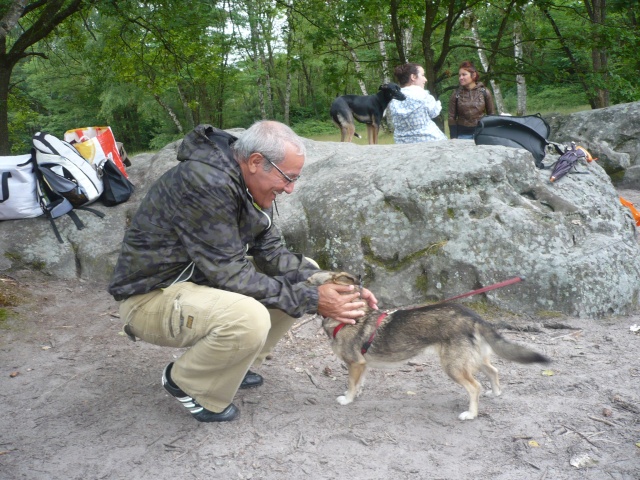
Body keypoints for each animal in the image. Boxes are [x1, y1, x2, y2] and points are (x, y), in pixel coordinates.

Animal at [306, 270, 552, 420]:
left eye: (310, 281)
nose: (300, 281)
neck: (350, 317)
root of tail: (472, 317)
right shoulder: (362, 365)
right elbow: (358, 384)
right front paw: (356, 395)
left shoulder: (355, 364)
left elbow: (351, 384)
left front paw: (347, 399)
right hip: (473, 359)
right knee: (494, 371)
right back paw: (495, 393)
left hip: (453, 366)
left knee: (475, 387)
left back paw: (471, 413)